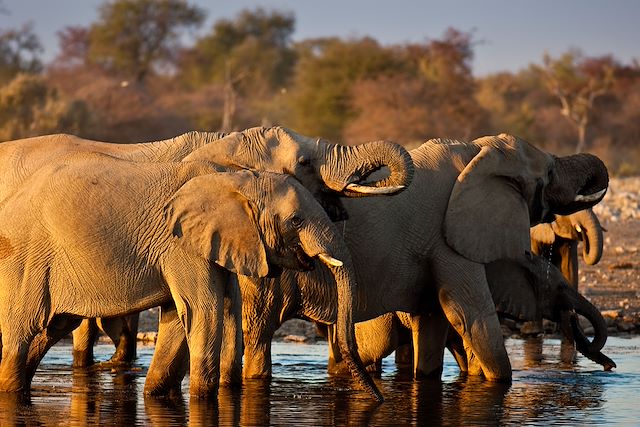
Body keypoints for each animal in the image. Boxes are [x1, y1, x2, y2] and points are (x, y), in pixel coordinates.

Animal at [238, 133, 608, 382]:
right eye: (548, 173)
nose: (610, 366)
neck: (477, 152)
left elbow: (433, 319)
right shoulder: (449, 239)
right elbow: (471, 316)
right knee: (259, 330)